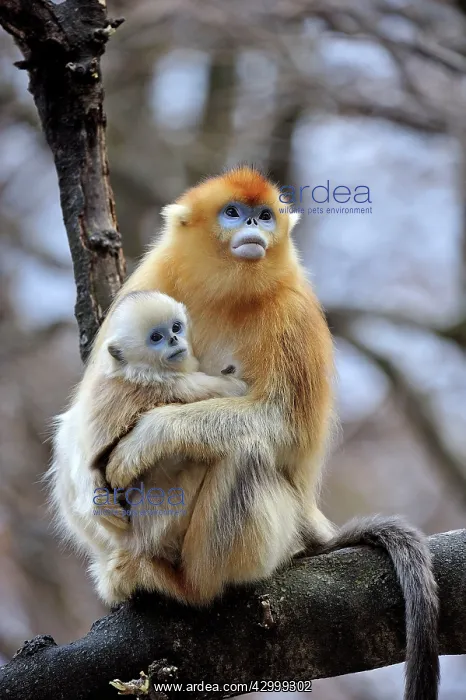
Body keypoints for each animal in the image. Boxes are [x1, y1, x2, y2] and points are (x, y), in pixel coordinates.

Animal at [50, 290, 247, 603]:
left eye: (176, 327)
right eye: (156, 337)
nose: (175, 340)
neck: (134, 370)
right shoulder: (173, 384)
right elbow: (235, 391)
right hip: (157, 522)